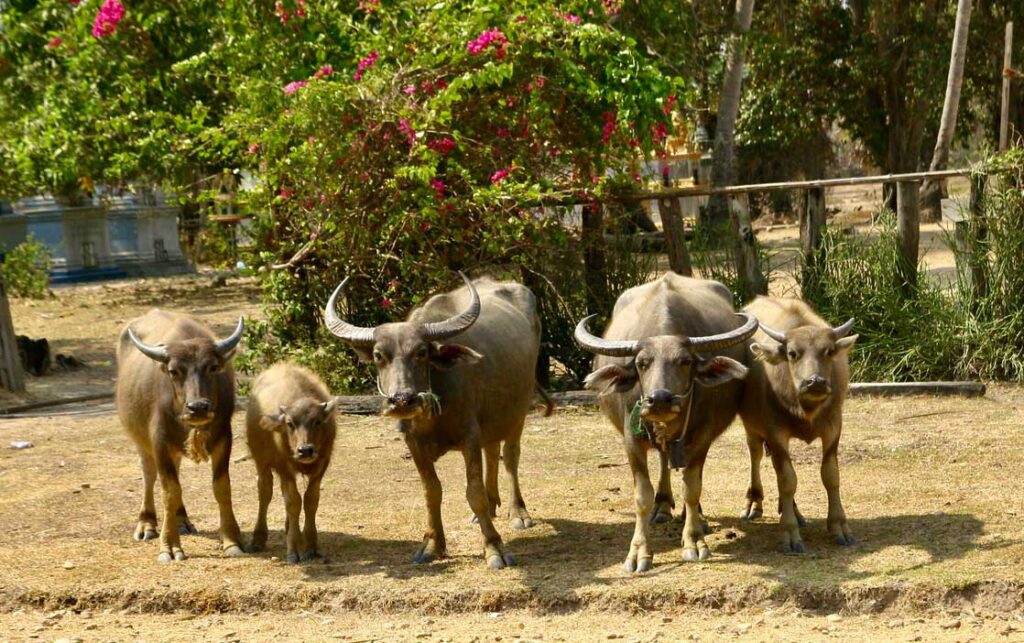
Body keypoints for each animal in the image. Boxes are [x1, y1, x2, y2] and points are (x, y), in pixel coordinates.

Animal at [115, 311, 245, 561]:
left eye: (213, 367)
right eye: (174, 371)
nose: (198, 407)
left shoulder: (224, 438)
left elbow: (222, 487)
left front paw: (232, 541)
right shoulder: (159, 442)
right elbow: (169, 491)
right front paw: (170, 546)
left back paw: (182, 519)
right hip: (140, 439)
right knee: (149, 474)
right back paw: (146, 524)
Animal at [245, 362, 337, 561]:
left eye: (317, 421)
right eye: (289, 423)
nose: (305, 450)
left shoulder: (322, 464)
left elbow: (310, 500)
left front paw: (310, 545)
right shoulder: (283, 466)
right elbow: (293, 502)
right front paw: (294, 549)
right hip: (261, 461)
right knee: (265, 492)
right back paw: (258, 539)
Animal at [323, 272, 540, 569]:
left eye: (421, 352)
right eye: (379, 355)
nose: (402, 400)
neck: (433, 417)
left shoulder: (469, 436)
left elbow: (473, 493)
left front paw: (494, 547)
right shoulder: (413, 443)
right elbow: (431, 492)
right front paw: (432, 545)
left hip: (518, 411)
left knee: (510, 456)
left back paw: (517, 511)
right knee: (493, 451)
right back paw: (492, 503)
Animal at [577, 272, 761, 573]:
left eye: (685, 361)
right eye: (641, 363)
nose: (660, 400)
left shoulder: (702, 436)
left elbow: (692, 487)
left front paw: (694, 539)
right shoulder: (631, 439)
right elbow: (642, 496)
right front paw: (639, 552)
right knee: (664, 459)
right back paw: (662, 506)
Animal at [737, 296, 856, 552]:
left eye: (828, 351)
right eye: (792, 353)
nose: (815, 382)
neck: (806, 408)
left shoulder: (834, 426)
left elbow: (831, 476)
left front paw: (839, 526)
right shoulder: (775, 433)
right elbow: (787, 480)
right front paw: (789, 533)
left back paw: (793, 511)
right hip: (750, 425)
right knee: (756, 454)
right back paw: (754, 503)